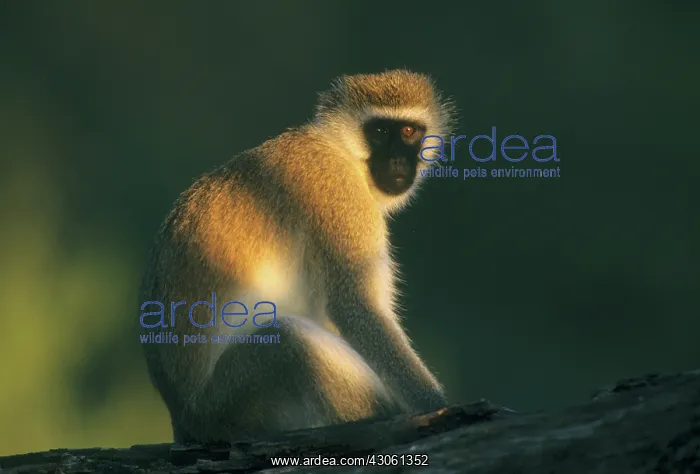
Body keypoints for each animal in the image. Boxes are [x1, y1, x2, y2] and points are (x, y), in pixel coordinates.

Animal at [138, 69, 456, 445]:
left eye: (408, 132)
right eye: (379, 132)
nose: (397, 161)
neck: (339, 149)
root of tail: (186, 421)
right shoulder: (339, 195)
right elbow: (355, 308)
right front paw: (437, 406)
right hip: (232, 398)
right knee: (288, 343)